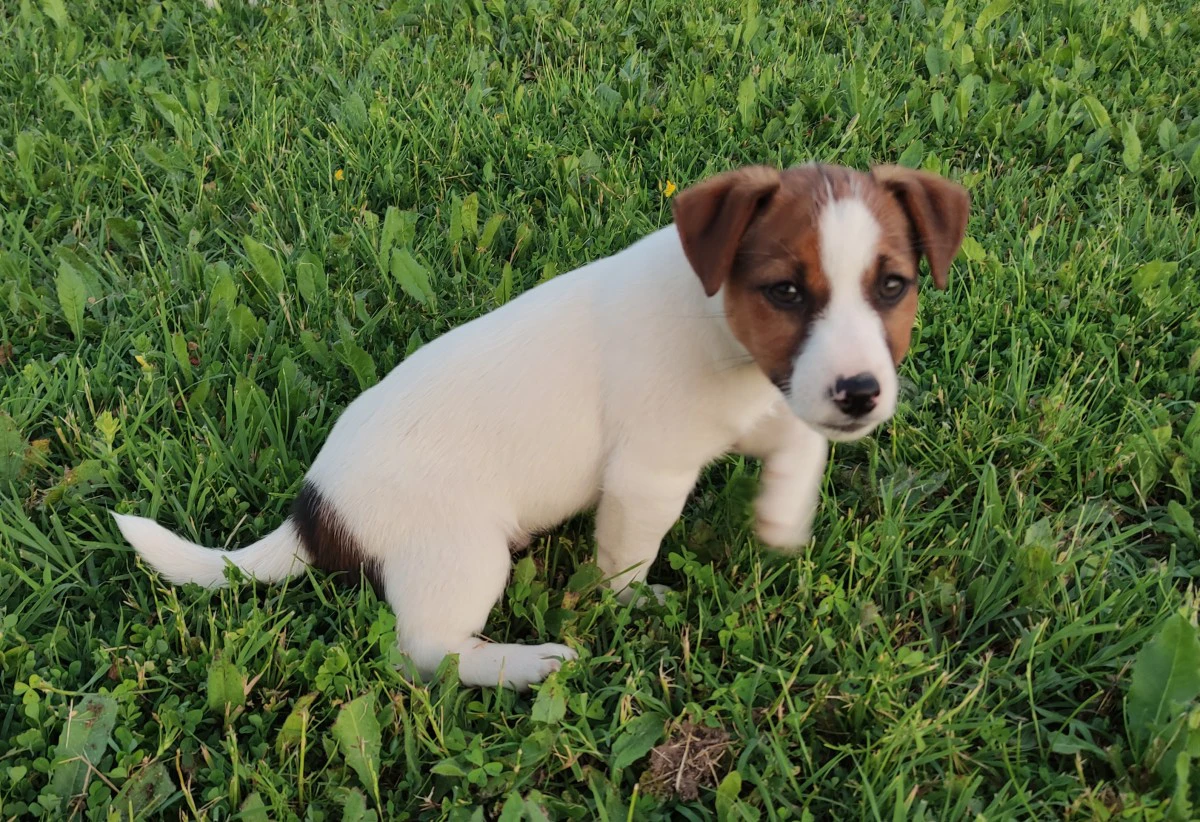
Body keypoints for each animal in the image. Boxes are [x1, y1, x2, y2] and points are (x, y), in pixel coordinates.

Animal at [117, 163, 969, 691]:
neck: (717, 319)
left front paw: (781, 521)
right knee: (427, 655)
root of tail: (315, 510)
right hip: (464, 557)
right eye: (786, 291)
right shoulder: (650, 473)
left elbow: (800, 442)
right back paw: (529, 664)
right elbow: (628, 556)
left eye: (893, 286)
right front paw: (633, 604)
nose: (860, 394)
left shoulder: (768, 400)